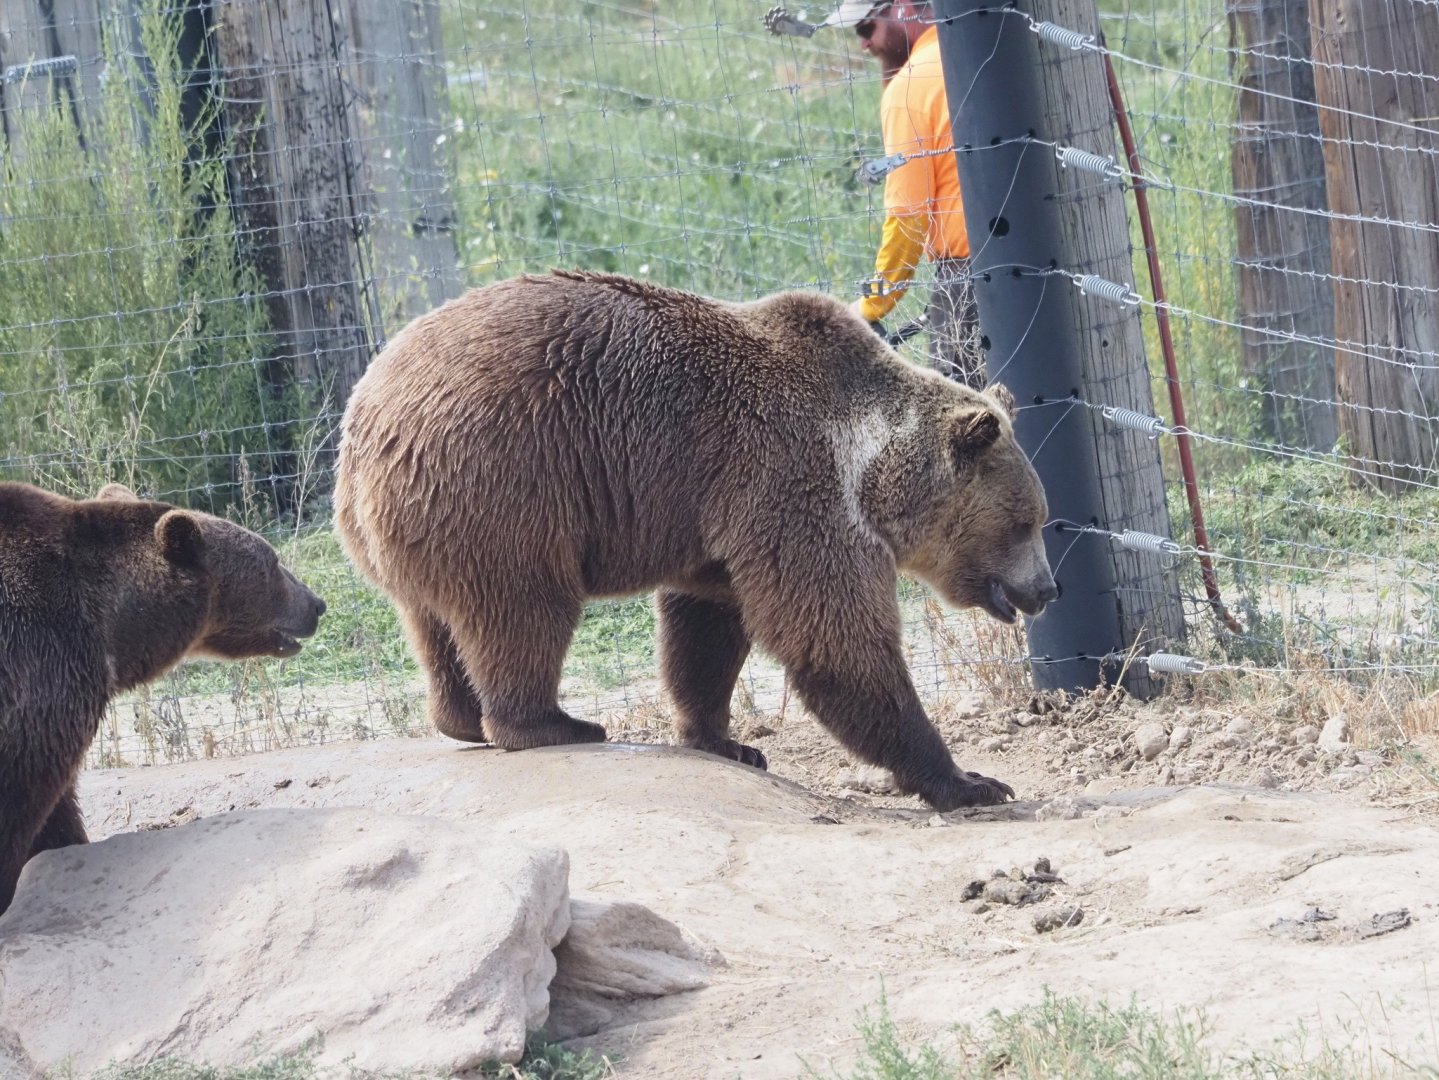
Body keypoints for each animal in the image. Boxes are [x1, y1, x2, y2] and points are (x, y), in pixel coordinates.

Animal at [334, 270, 1057, 812]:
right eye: (1026, 522)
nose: (1047, 588)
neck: (870, 464)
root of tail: (364, 420)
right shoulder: (793, 481)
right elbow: (832, 637)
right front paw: (969, 781)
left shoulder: (720, 524)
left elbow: (707, 630)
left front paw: (726, 741)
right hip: (504, 482)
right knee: (523, 608)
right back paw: (553, 722)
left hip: (423, 522)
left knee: (433, 620)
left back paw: (459, 715)